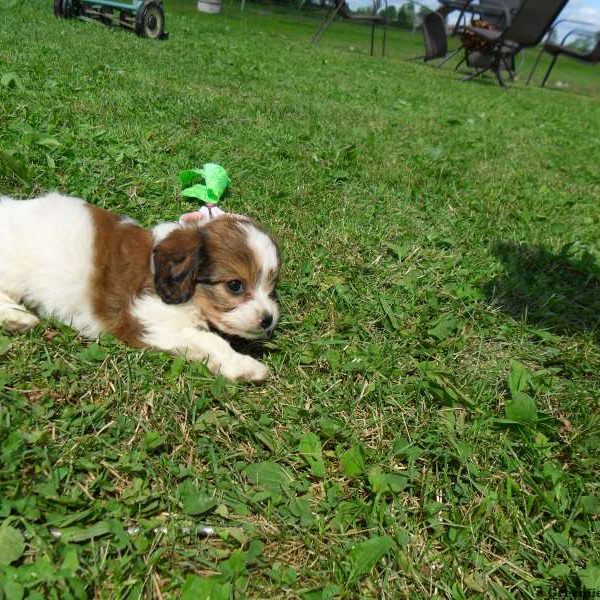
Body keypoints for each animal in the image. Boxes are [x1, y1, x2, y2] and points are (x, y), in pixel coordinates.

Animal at [0, 193, 280, 380]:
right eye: (235, 285)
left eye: (271, 287)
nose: (268, 319)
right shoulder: (149, 319)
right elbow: (211, 340)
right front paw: (246, 366)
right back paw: (17, 318)